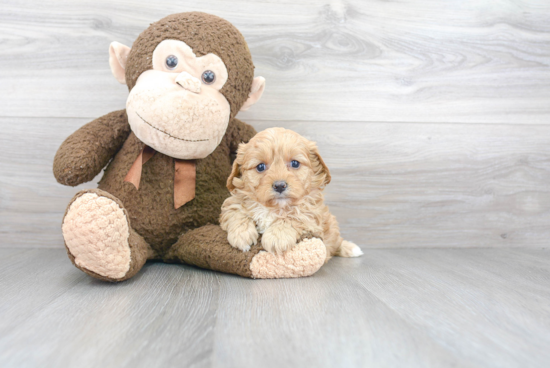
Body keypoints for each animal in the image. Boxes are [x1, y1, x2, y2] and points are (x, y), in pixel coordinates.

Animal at [222, 128, 364, 260]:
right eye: (260, 166)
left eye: (295, 163)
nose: (280, 186)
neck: (275, 208)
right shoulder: (234, 202)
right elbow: (236, 211)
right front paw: (241, 234)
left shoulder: (312, 214)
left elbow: (294, 217)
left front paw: (277, 237)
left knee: (337, 243)